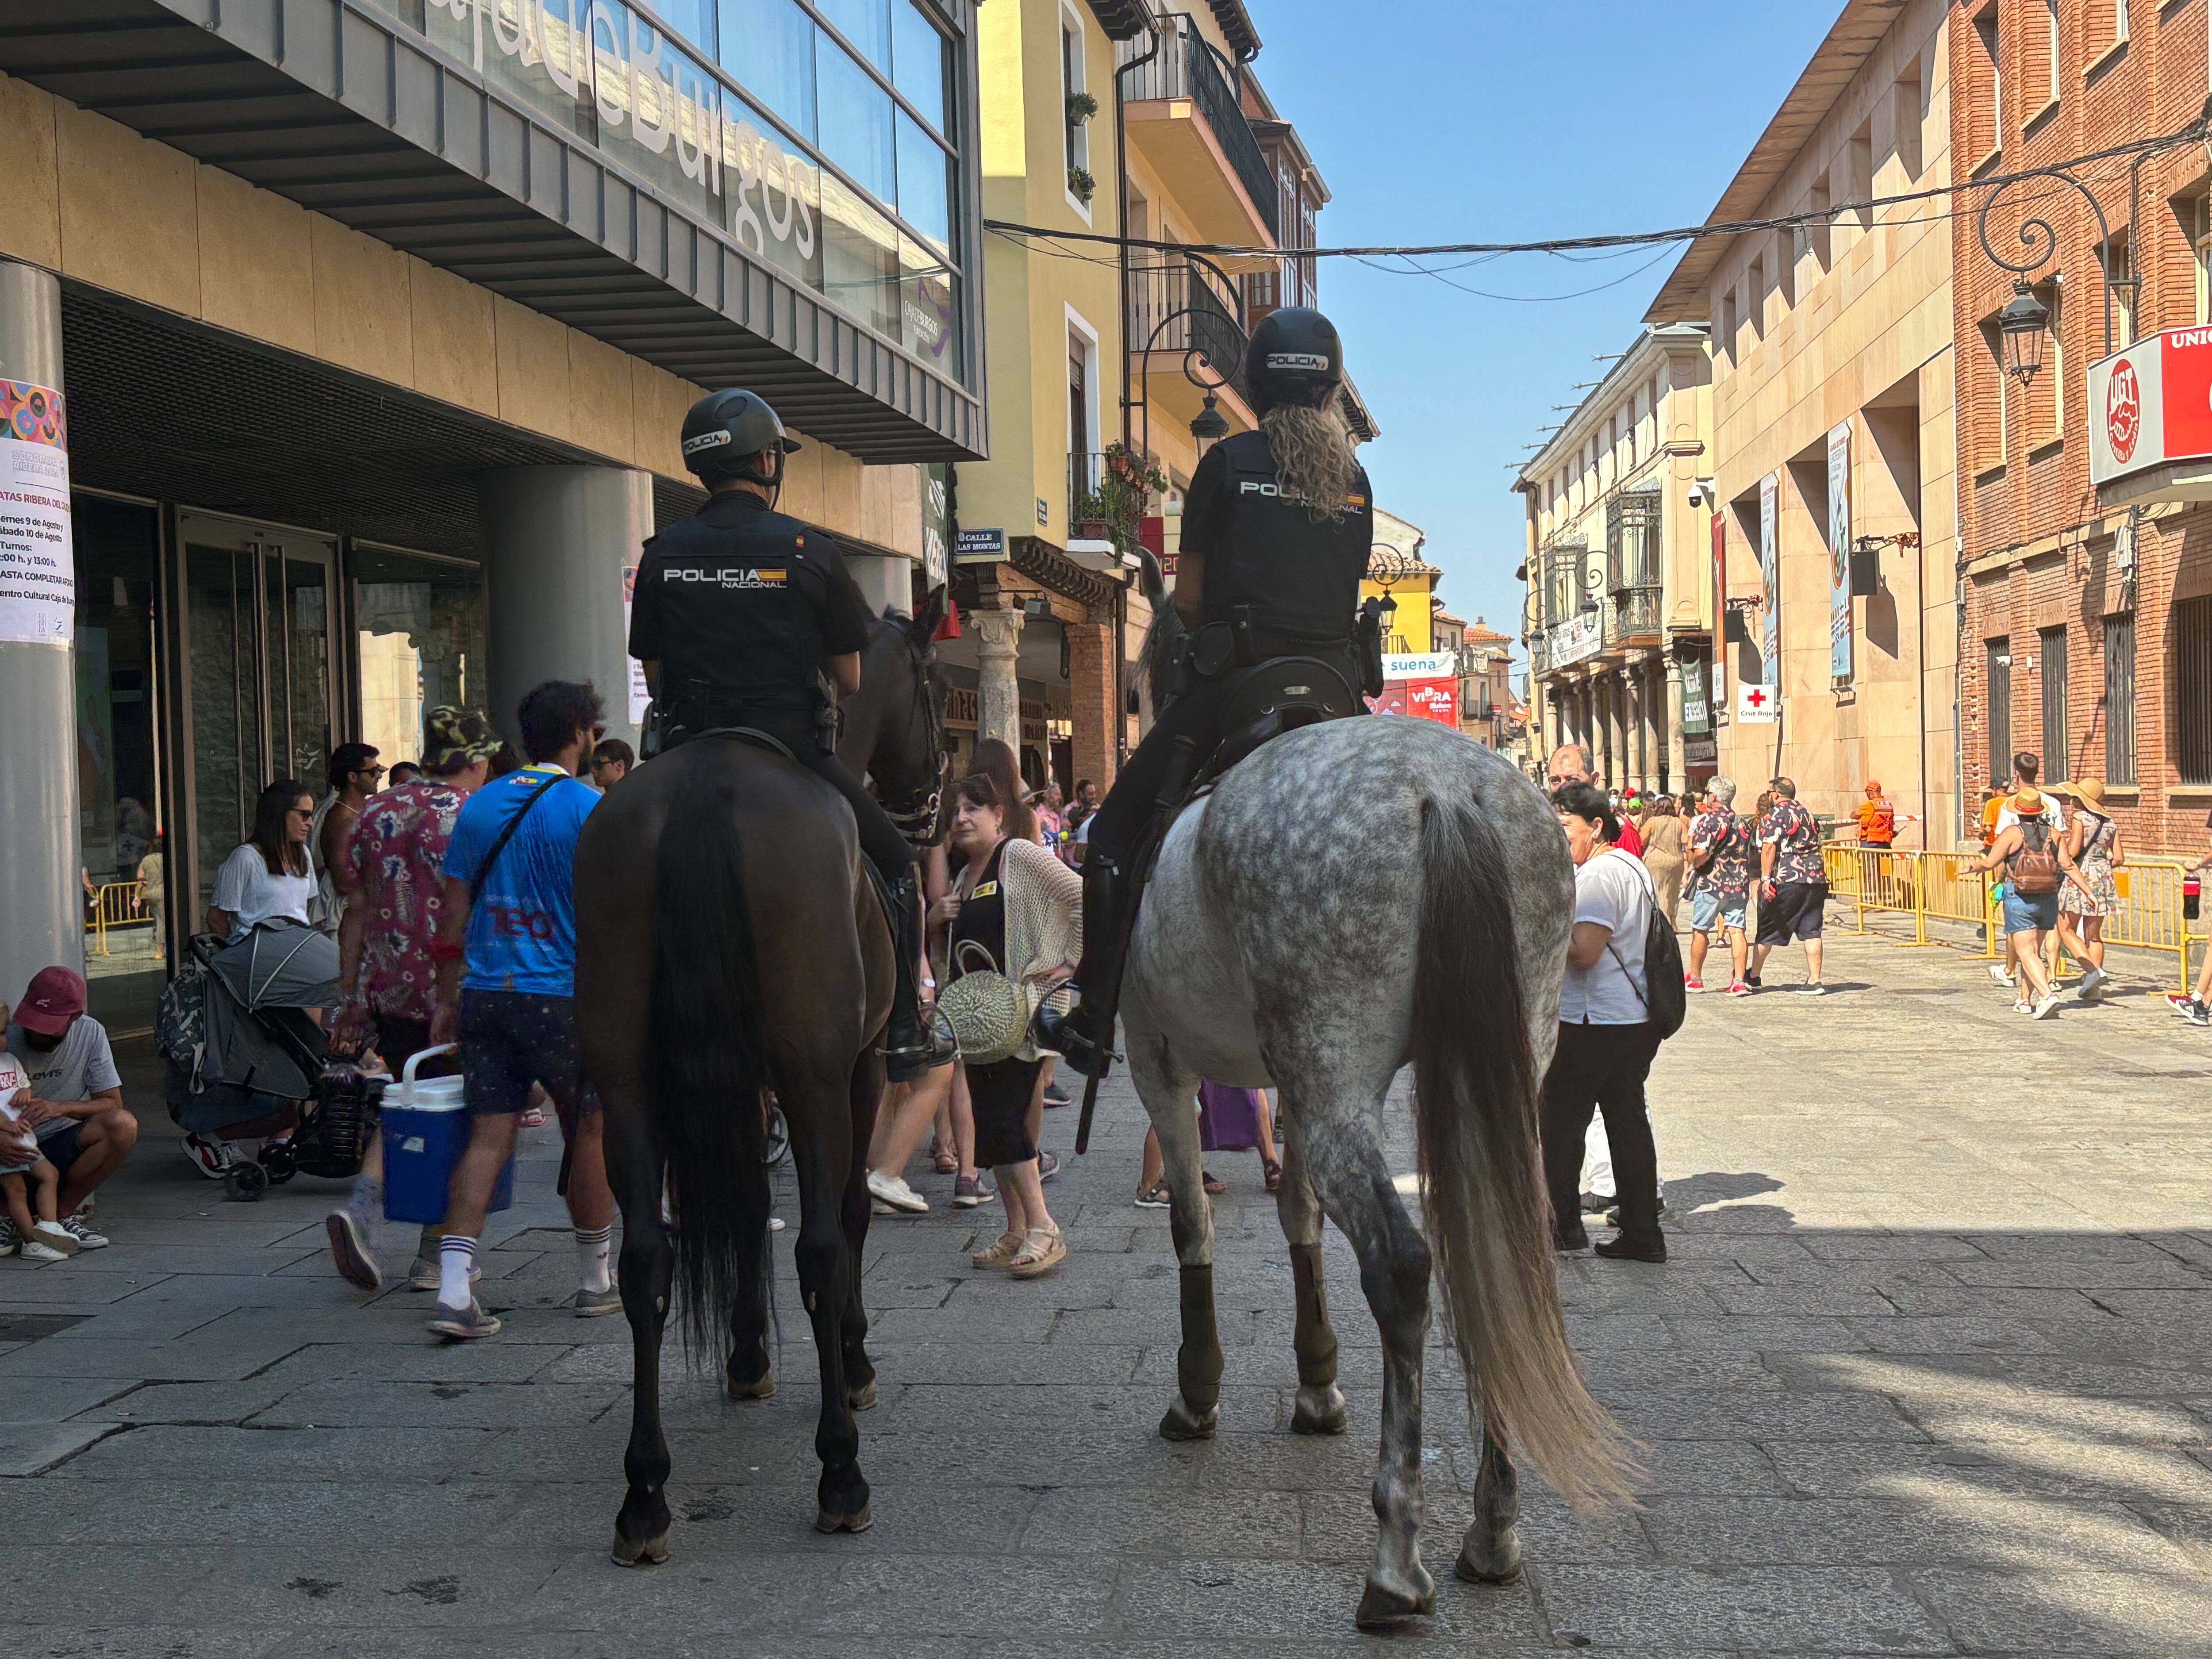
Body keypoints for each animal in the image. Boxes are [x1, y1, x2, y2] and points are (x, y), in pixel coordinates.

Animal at [573, 597, 948, 1565]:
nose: (932, 803)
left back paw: (644, 1493)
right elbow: (846, 1216)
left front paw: (746, 1355)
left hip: (627, 1078)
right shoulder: (851, 1070)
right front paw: (853, 1362)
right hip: (817, 1072)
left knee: (649, 1254)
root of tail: (704, 786)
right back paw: (840, 1471)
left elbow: (740, 1205)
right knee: (818, 1242)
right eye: (933, 697)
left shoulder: (735, 1082)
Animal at [1115, 710, 1632, 1627]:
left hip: (1330, 1058)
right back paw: (1492, 1535)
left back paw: (1396, 1563)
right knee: (1496, 1252)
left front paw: (1197, 1390)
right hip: (1491, 1057)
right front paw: (1317, 1383)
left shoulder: (1156, 1061)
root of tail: (1444, 786)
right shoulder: (1288, 1083)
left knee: (1400, 1265)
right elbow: (1298, 1212)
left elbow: (1191, 1224)